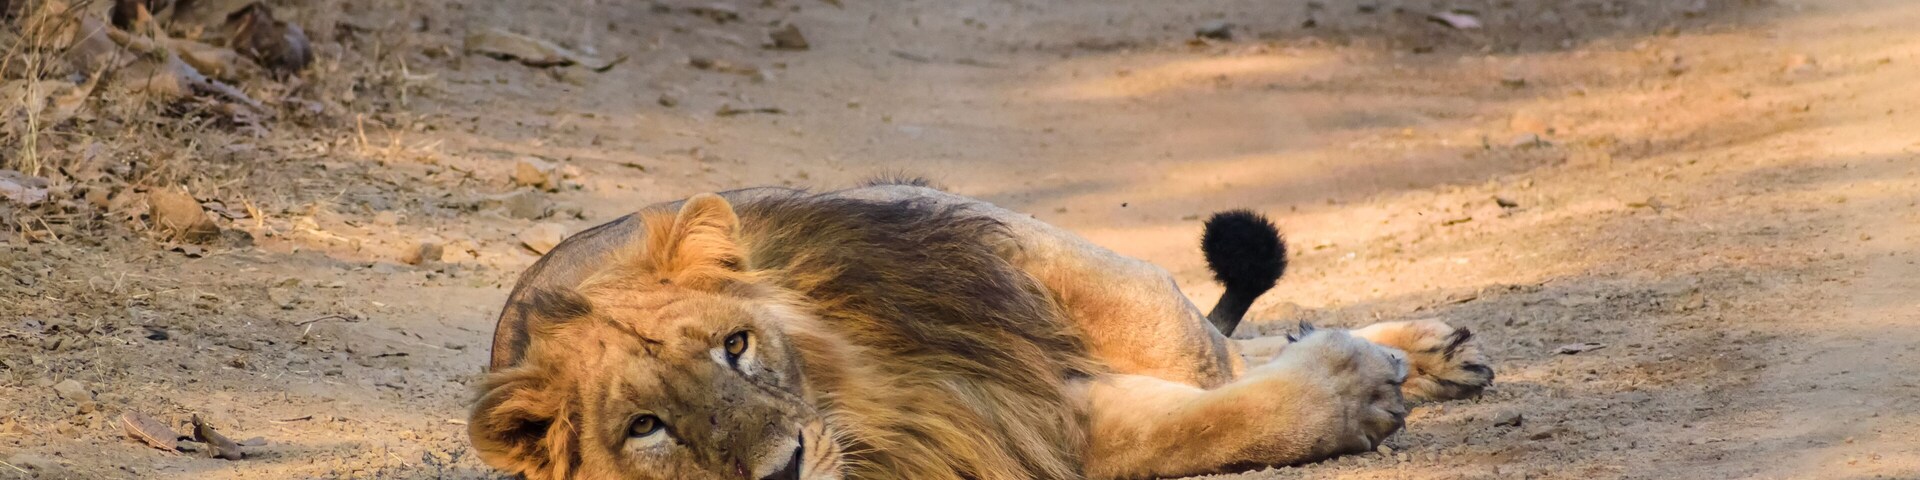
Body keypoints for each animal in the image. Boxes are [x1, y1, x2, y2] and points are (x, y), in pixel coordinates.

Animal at [472, 181, 1493, 480]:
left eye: (735, 346)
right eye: (646, 428)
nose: (786, 472)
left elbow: (1195, 355)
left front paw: (1379, 365)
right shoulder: (1016, 421)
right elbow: (1193, 423)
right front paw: (1354, 394)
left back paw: (1436, 351)